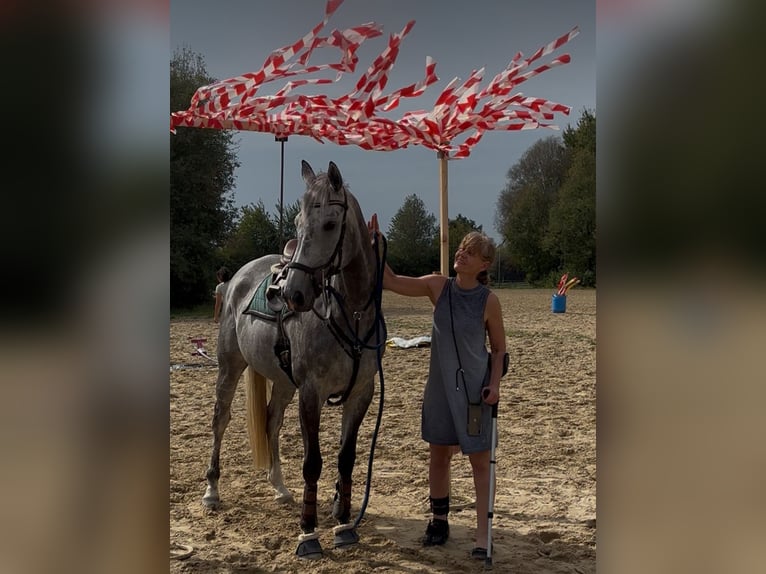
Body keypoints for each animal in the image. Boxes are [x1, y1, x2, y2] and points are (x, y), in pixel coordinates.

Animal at [203, 160, 386, 559]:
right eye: (300, 224)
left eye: (330, 224)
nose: (292, 294)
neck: (350, 315)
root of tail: (240, 276)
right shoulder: (311, 393)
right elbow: (313, 463)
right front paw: (309, 533)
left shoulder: (361, 393)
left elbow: (346, 458)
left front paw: (344, 525)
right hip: (230, 366)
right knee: (220, 420)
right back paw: (211, 490)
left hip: (283, 381)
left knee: (271, 421)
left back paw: (280, 488)